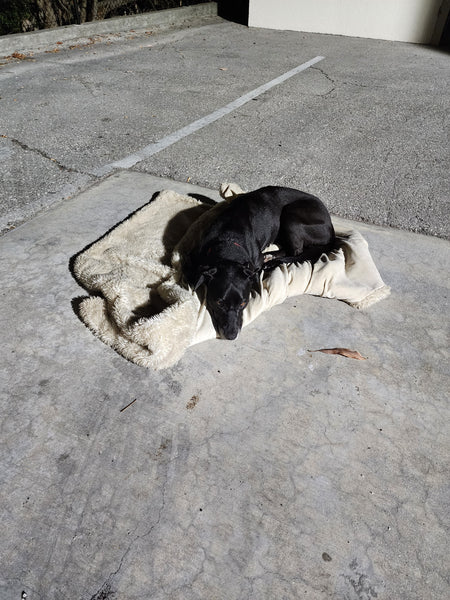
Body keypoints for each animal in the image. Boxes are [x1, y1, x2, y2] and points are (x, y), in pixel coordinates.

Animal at [182, 185, 334, 340]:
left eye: (243, 303)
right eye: (219, 303)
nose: (232, 335)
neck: (229, 240)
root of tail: (331, 229)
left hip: (291, 216)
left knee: (296, 251)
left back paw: (272, 261)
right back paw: (270, 256)